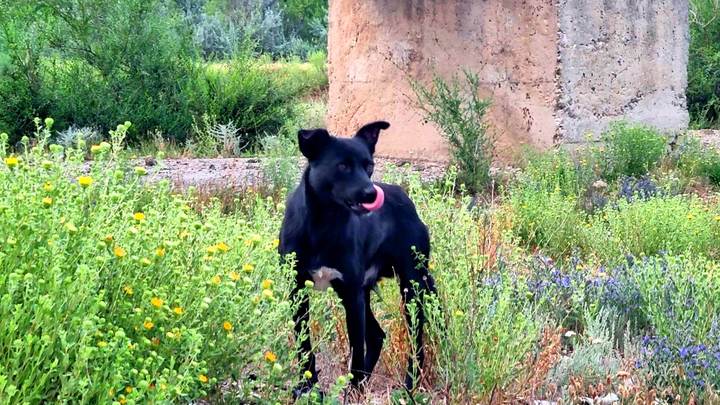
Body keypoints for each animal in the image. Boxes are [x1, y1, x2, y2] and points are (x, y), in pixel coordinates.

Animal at [278, 119, 436, 394]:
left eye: (369, 166)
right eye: (342, 166)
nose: (372, 194)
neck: (323, 224)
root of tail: (404, 197)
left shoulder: (351, 295)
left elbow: (356, 351)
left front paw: (352, 391)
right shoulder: (298, 291)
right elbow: (304, 346)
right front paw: (308, 388)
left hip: (411, 286)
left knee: (415, 340)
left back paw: (408, 385)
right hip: (365, 290)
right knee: (376, 336)